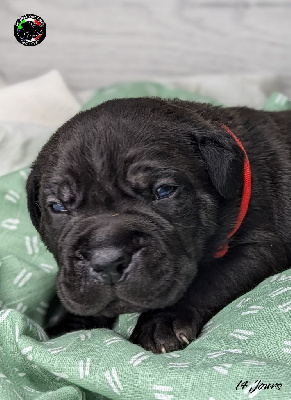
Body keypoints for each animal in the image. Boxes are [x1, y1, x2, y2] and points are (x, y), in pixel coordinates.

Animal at [26, 97, 291, 354]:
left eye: (163, 191)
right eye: (58, 207)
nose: (107, 260)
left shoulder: (257, 247)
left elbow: (210, 280)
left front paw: (162, 323)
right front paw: (69, 324)